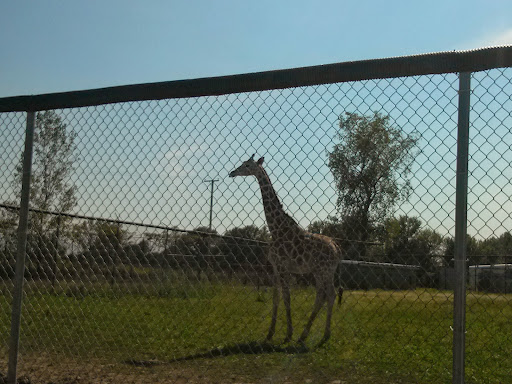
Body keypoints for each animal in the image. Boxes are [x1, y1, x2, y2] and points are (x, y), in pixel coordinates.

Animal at [229, 154, 344, 344]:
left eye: (247, 165)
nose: (232, 172)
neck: (275, 228)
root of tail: (336, 248)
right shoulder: (276, 268)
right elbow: (276, 297)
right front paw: (270, 333)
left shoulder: (283, 267)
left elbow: (286, 297)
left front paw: (289, 333)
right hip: (322, 271)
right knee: (325, 295)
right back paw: (314, 334)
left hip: (323, 270)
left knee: (327, 294)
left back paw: (313, 335)